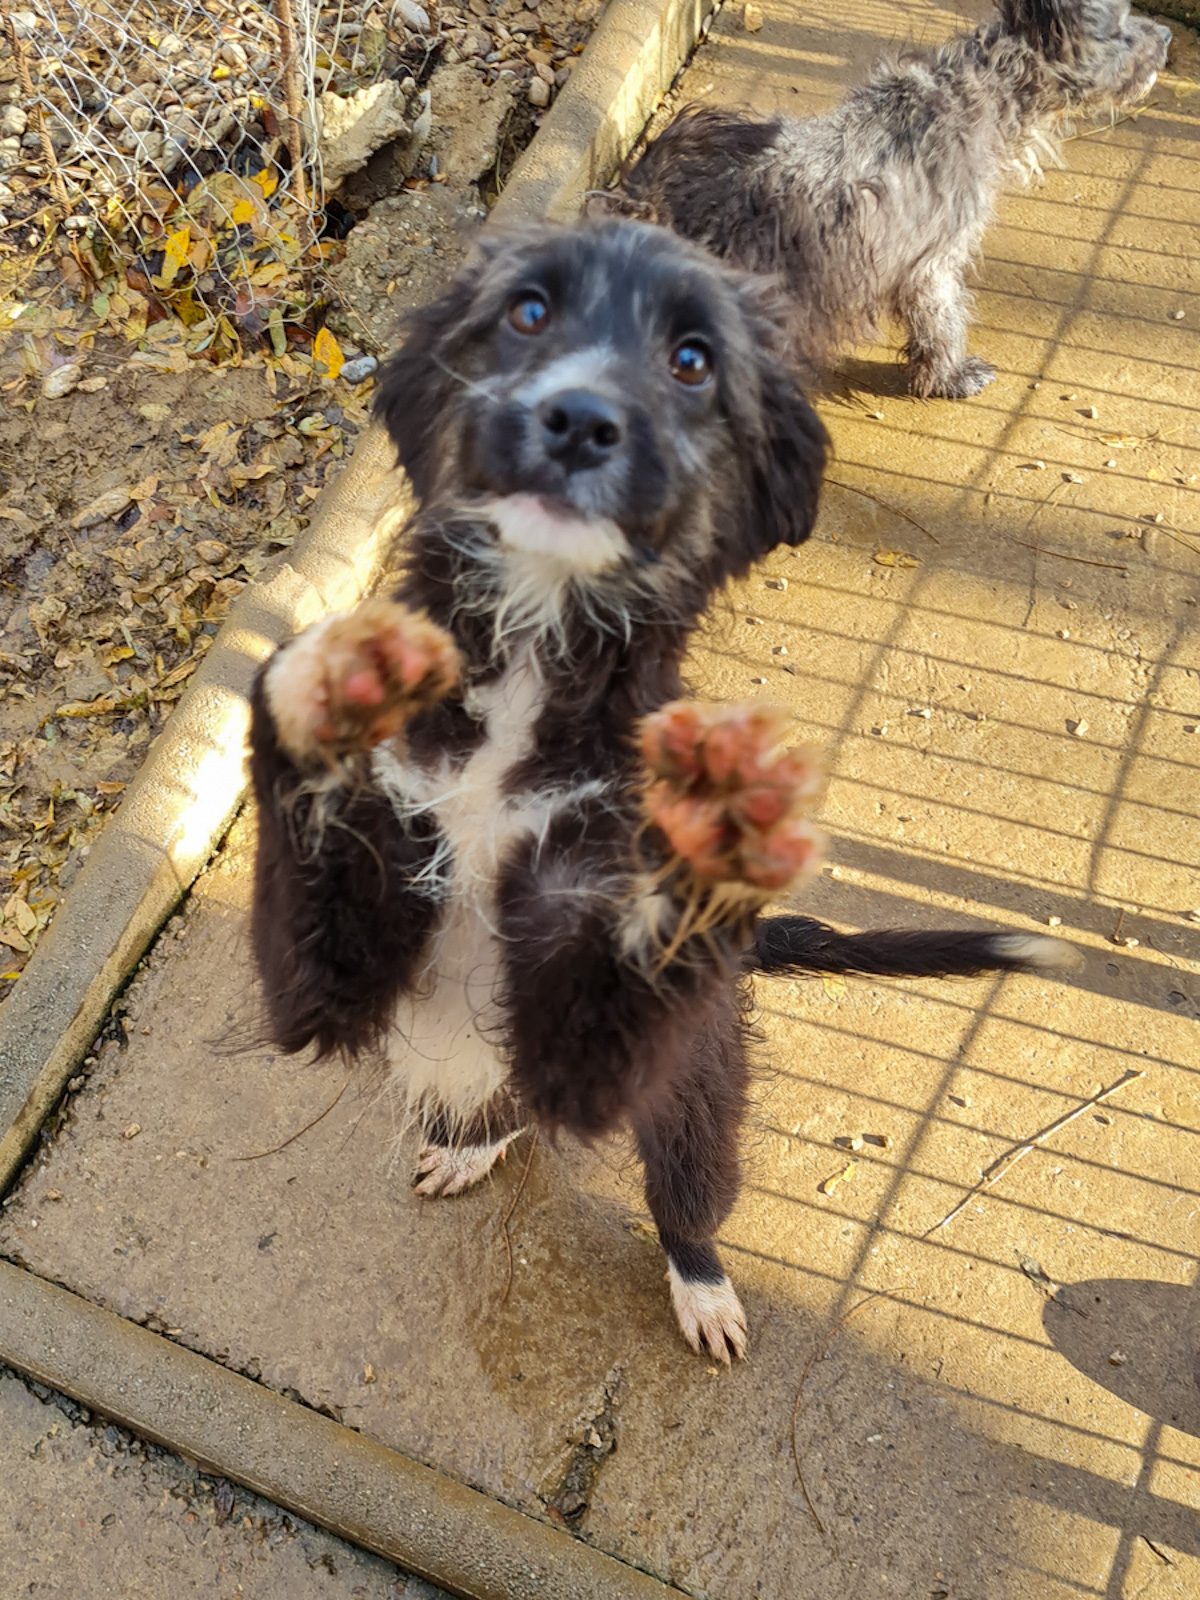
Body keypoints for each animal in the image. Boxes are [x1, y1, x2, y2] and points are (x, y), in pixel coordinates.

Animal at [247, 220, 1073, 1360]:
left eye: (693, 361)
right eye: (528, 311)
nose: (580, 421)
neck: (536, 659)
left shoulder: (602, 997)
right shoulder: (339, 974)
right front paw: (323, 685)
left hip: (694, 1097)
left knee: (676, 1192)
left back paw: (703, 1286)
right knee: (507, 1099)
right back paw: (471, 1143)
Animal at [595, 0, 1170, 398]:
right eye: (1122, 26)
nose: (1166, 36)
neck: (980, 89)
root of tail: (648, 199)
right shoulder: (933, 261)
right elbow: (943, 319)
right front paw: (951, 378)